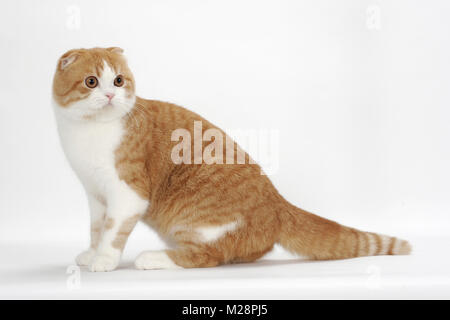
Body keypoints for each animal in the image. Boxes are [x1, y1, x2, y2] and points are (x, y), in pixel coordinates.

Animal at [51, 48, 412, 272]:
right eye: (92, 82)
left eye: (119, 80)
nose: (111, 95)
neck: (88, 132)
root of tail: (278, 202)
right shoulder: (96, 194)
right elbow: (97, 228)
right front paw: (91, 253)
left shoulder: (127, 194)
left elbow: (113, 231)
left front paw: (104, 259)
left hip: (192, 222)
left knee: (206, 256)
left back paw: (154, 258)